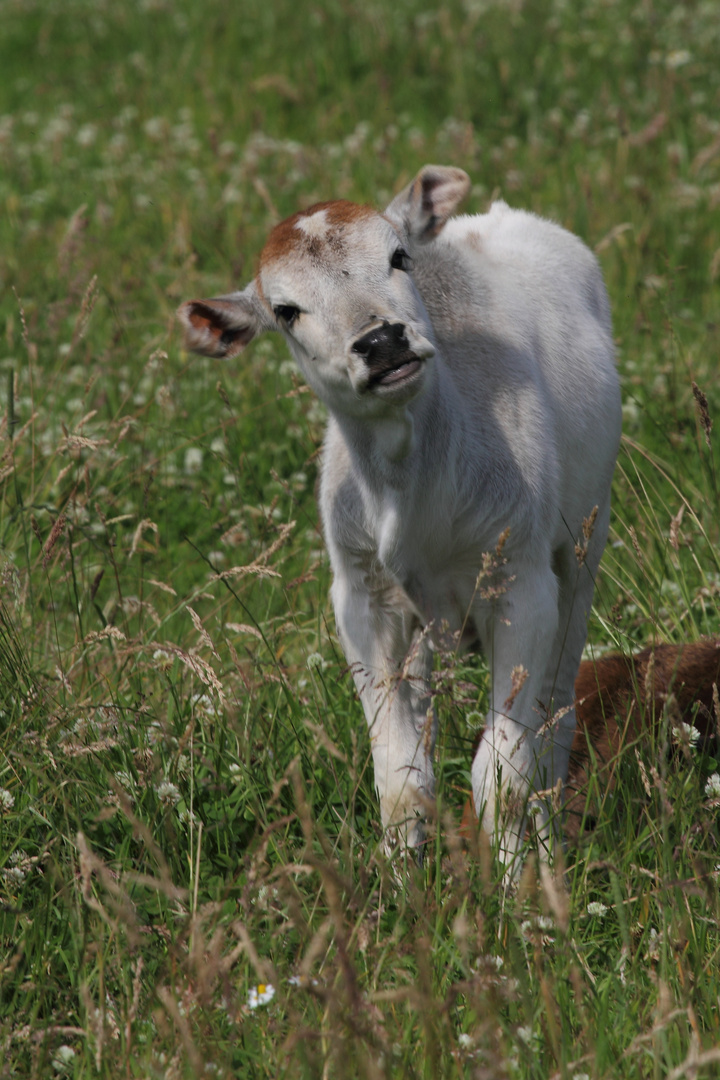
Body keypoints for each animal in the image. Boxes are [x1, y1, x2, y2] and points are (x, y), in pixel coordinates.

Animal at [177, 162, 621, 868]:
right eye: (285, 311)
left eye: (398, 256)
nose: (382, 341)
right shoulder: (364, 600)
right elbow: (402, 781)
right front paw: (400, 886)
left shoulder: (522, 583)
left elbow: (502, 775)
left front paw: (522, 889)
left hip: (583, 549)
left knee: (555, 718)